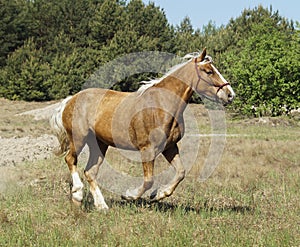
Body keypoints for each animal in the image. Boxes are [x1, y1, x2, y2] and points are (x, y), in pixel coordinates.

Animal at [51, 48, 234, 210]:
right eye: (209, 71)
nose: (230, 94)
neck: (162, 105)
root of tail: (70, 100)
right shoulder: (147, 149)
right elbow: (148, 181)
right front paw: (129, 195)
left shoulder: (169, 147)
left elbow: (180, 173)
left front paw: (158, 195)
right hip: (78, 138)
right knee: (70, 160)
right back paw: (78, 195)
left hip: (99, 144)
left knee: (90, 172)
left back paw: (101, 206)